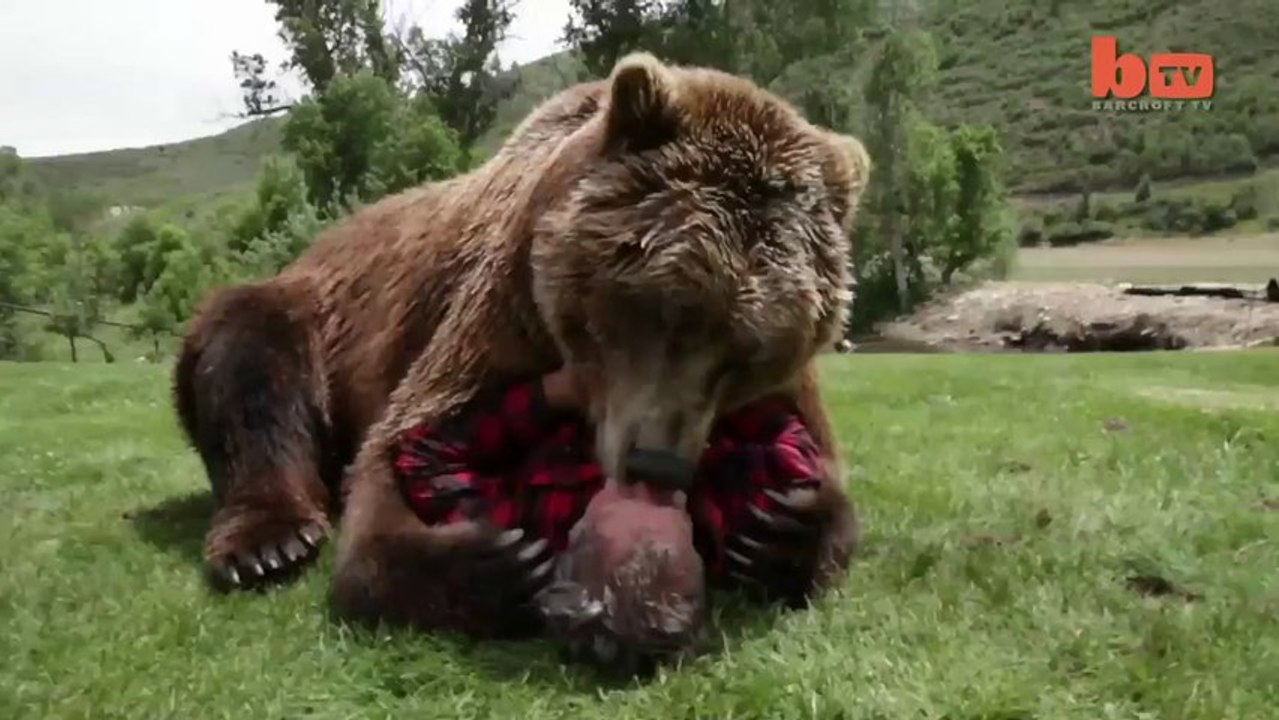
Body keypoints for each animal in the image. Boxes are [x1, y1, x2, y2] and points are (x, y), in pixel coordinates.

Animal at [172, 52, 869, 635]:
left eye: (748, 353)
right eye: (665, 309)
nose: (658, 463)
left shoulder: (787, 384)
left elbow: (825, 478)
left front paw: (782, 526)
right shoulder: (505, 311)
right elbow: (393, 455)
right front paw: (499, 561)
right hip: (312, 310)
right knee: (251, 363)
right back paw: (269, 542)